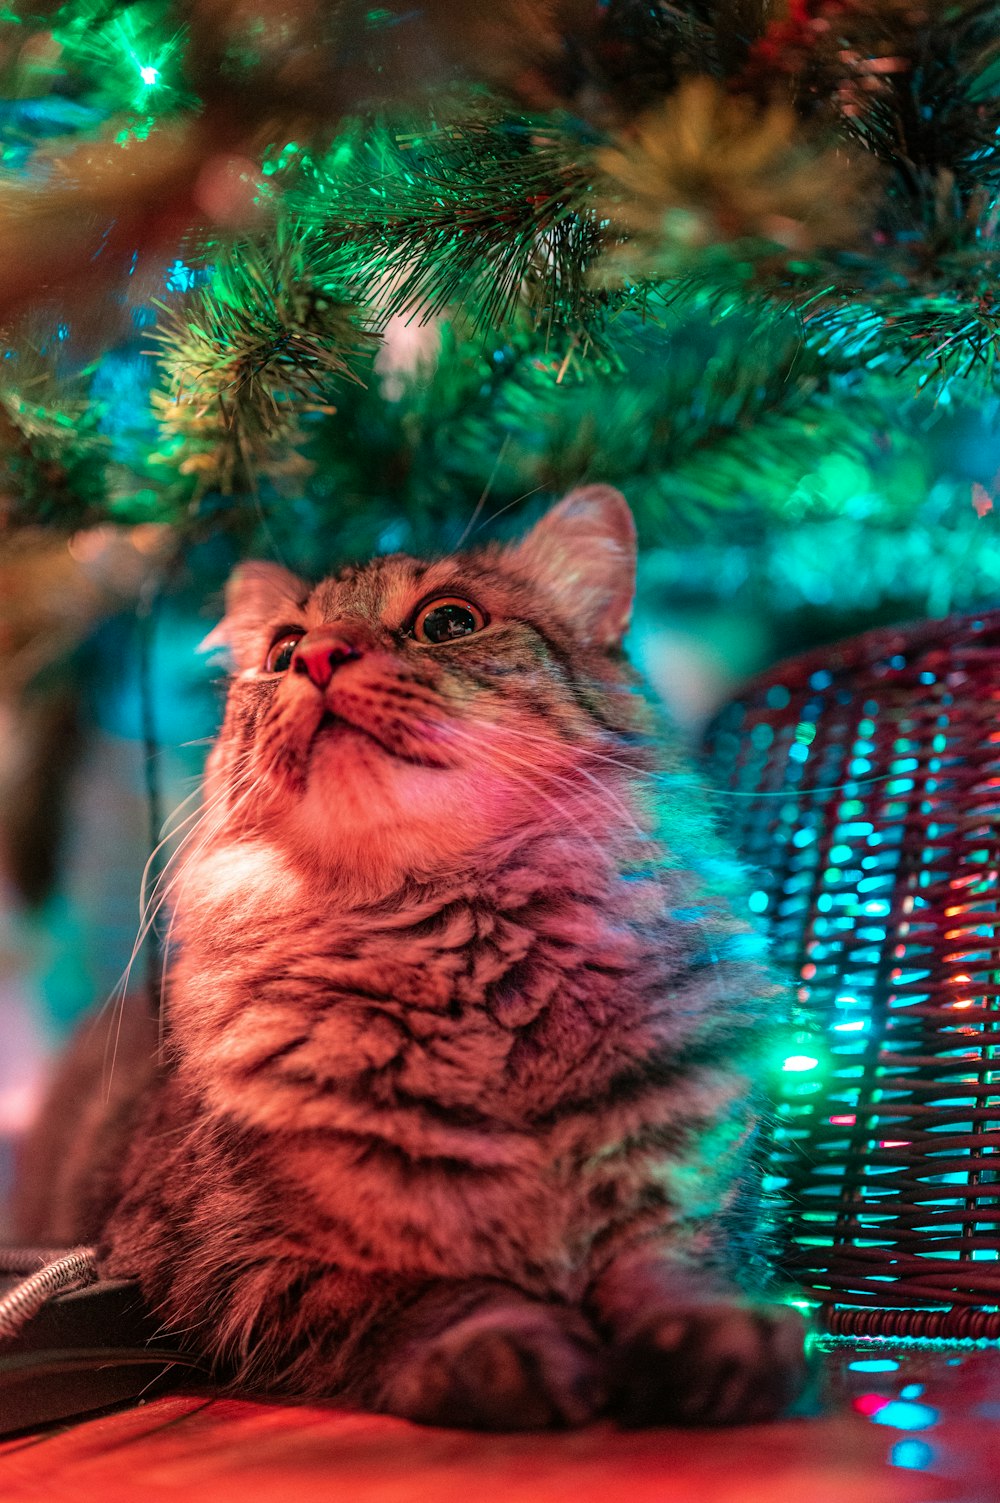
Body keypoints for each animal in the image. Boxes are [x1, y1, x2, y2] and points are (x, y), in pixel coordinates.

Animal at [13, 486, 812, 1424]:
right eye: (282, 649)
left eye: (449, 621)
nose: (319, 656)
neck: (473, 968)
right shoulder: (230, 1265)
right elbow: (433, 1295)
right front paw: (510, 1351)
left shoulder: (695, 1192)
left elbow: (676, 1270)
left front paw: (718, 1340)